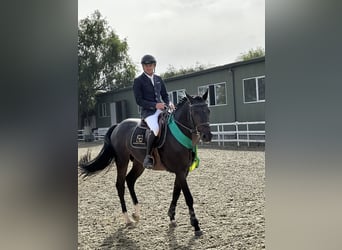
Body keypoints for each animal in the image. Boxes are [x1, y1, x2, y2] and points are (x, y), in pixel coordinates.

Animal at [79, 91, 211, 235]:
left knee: (130, 180)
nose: (207, 136)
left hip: (138, 163)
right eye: (195, 112)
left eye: (208, 111)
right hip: (122, 161)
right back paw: (127, 219)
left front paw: (171, 217)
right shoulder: (180, 171)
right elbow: (188, 197)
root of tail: (118, 125)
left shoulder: (183, 171)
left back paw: (136, 214)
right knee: (120, 185)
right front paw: (196, 225)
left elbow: (176, 193)